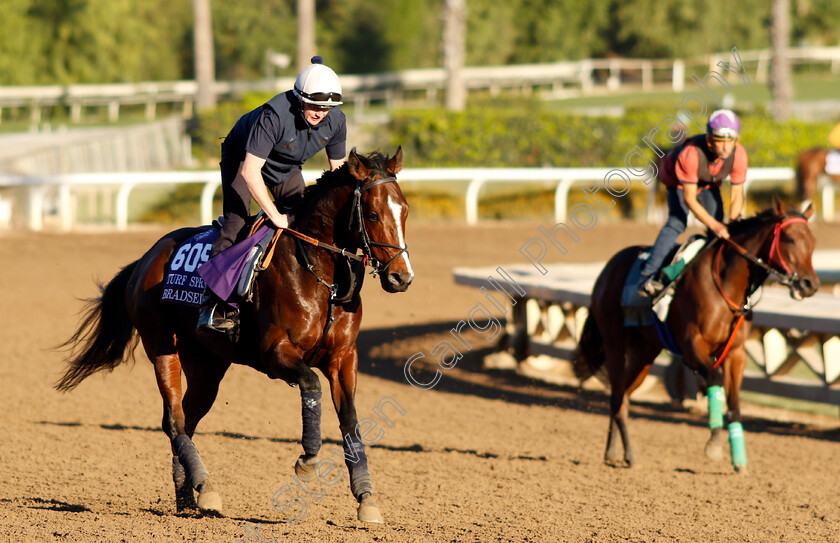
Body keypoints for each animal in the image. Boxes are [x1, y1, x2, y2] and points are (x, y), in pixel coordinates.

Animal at [54, 148, 416, 524]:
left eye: (405, 209)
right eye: (372, 213)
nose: (401, 277)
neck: (321, 276)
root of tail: (144, 259)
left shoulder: (344, 358)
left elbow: (351, 422)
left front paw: (366, 499)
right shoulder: (276, 352)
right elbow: (311, 385)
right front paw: (307, 458)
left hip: (207, 365)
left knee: (187, 419)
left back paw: (188, 495)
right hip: (161, 346)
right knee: (174, 420)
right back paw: (206, 486)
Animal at [576, 198, 816, 474]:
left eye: (813, 241)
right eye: (790, 239)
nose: (810, 285)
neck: (726, 286)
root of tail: (608, 268)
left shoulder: (736, 354)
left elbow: (735, 405)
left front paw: (740, 461)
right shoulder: (693, 347)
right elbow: (714, 380)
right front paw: (714, 445)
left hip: (644, 352)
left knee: (622, 395)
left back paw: (613, 451)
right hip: (614, 342)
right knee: (617, 395)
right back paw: (629, 454)